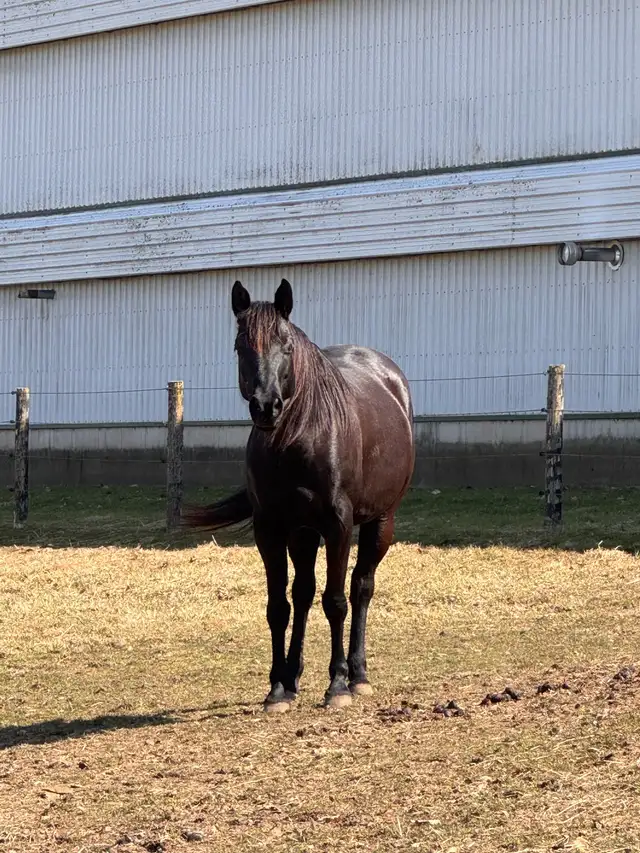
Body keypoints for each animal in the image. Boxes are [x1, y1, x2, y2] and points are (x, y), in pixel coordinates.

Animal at [183, 278, 415, 712]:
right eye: (240, 345)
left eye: (286, 344)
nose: (266, 406)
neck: (300, 439)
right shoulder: (271, 528)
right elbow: (280, 606)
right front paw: (277, 687)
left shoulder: (338, 525)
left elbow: (336, 601)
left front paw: (337, 686)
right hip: (304, 533)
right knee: (304, 593)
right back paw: (294, 677)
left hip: (380, 520)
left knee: (361, 587)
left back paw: (358, 676)